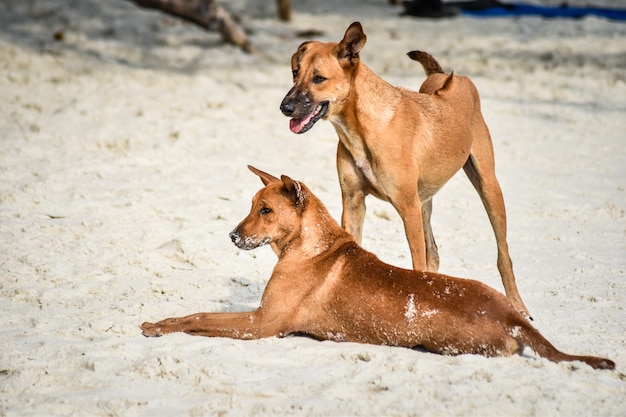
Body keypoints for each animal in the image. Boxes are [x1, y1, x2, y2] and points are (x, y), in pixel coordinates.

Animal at [139, 166, 612, 370]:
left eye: (266, 211)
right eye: (251, 206)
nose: (233, 236)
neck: (310, 246)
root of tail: (511, 315)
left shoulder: (260, 324)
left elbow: (200, 317)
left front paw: (161, 326)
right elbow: (198, 313)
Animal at [280, 22, 528, 316]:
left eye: (318, 78)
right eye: (295, 73)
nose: (285, 107)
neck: (363, 126)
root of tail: (448, 77)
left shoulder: (408, 208)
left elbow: (417, 265)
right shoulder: (353, 204)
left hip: (488, 188)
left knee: (503, 256)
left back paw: (518, 305)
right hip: (425, 203)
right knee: (434, 253)